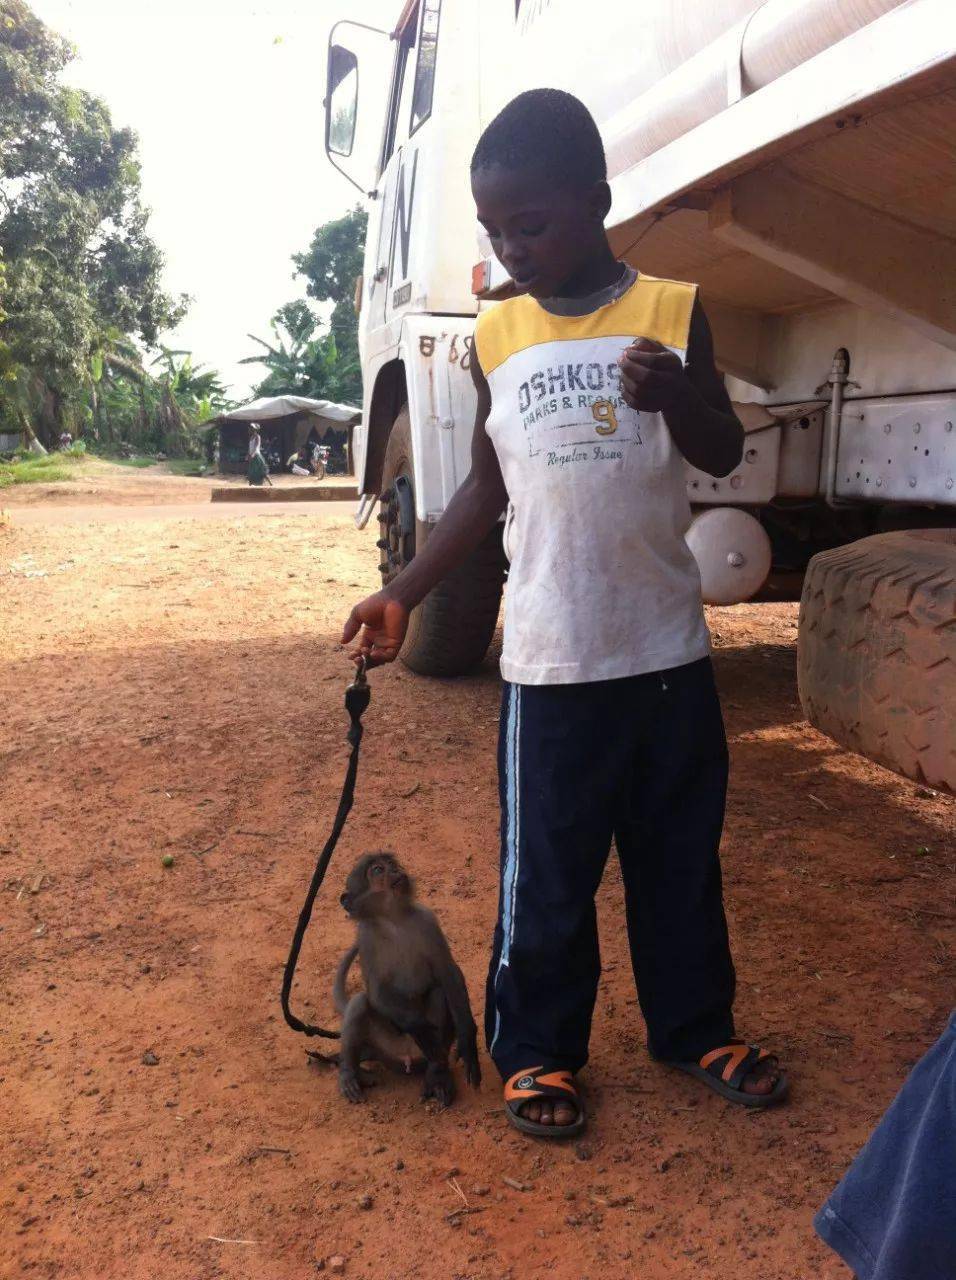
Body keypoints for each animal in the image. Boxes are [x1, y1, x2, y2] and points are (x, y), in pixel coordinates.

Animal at [332, 844, 481, 1105]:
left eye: (393, 864)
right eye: (377, 869)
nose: (395, 870)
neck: (393, 920)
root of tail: (407, 1059)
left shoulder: (427, 920)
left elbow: (448, 973)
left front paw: (468, 1041)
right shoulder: (366, 938)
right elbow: (377, 992)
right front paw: (418, 1027)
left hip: (428, 1050)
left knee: (438, 994)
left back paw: (437, 1075)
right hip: (386, 1046)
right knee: (359, 1002)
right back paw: (351, 1073)